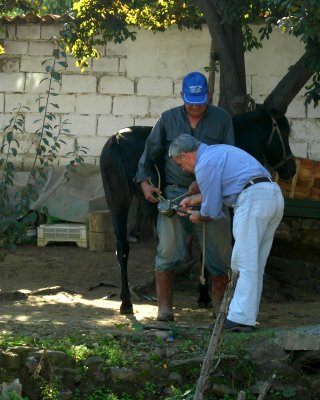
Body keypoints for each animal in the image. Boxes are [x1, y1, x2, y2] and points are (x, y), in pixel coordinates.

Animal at [100, 108, 298, 316]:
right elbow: (207, 251)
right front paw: (204, 296)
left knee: (122, 247)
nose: (292, 169)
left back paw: (126, 301)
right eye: (285, 133)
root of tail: (117, 140)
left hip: (117, 202)